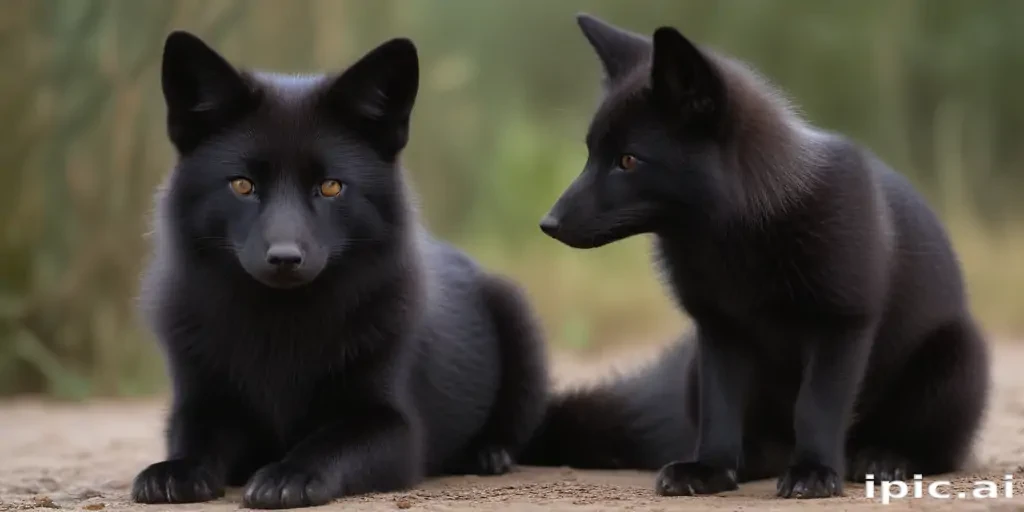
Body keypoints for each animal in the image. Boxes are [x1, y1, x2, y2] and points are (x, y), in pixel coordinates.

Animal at [130, 32, 549, 509]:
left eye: (330, 186)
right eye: (242, 185)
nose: (285, 257)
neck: (281, 324)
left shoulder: (393, 426)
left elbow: (331, 441)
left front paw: (289, 473)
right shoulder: (201, 401)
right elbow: (196, 437)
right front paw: (174, 471)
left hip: (517, 319)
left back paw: (487, 454)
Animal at [538, 13, 990, 499]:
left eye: (627, 160)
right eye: (590, 153)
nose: (548, 223)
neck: (739, 238)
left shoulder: (842, 324)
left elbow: (815, 407)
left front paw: (813, 472)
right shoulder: (719, 329)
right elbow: (720, 409)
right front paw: (711, 469)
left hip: (956, 360)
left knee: (939, 452)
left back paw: (884, 457)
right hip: (694, 370)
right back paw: (751, 461)